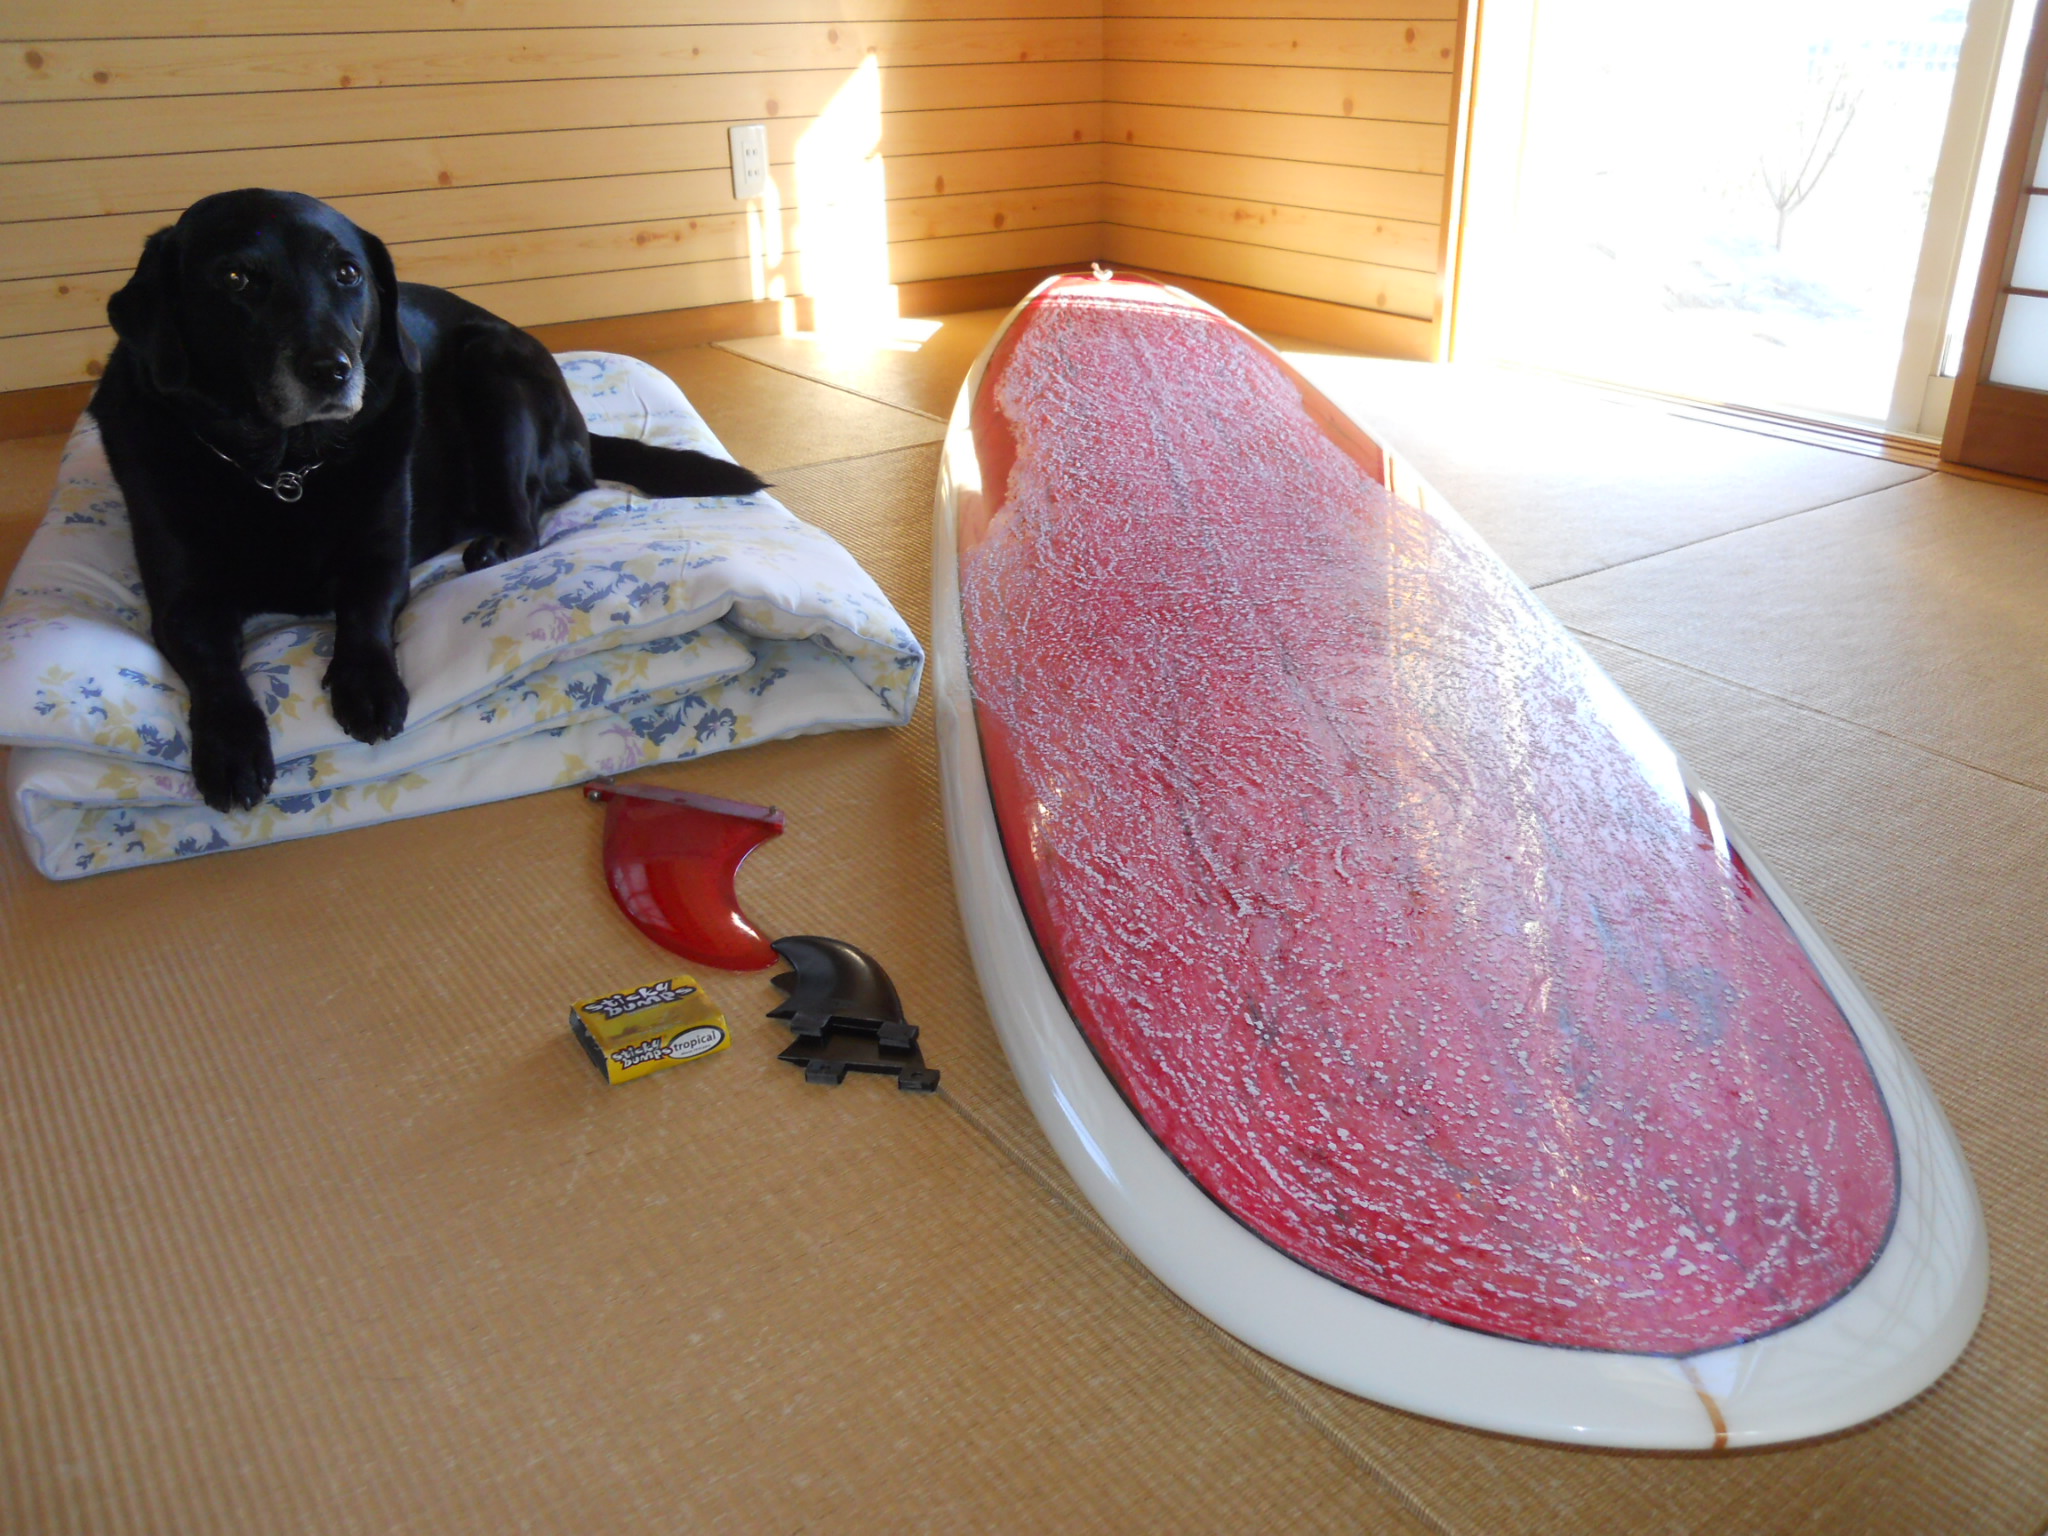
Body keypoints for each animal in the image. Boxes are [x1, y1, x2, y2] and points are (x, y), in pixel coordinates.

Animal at [92, 187, 768, 813]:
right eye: (236, 278)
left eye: (348, 274)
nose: (332, 370)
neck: (284, 470)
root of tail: (580, 427)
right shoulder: (183, 604)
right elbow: (214, 671)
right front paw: (231, 748)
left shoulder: (379, 560)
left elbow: (363, 618)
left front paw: (366, 686)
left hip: (491, 366)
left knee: (527, 517)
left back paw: (493, 546)